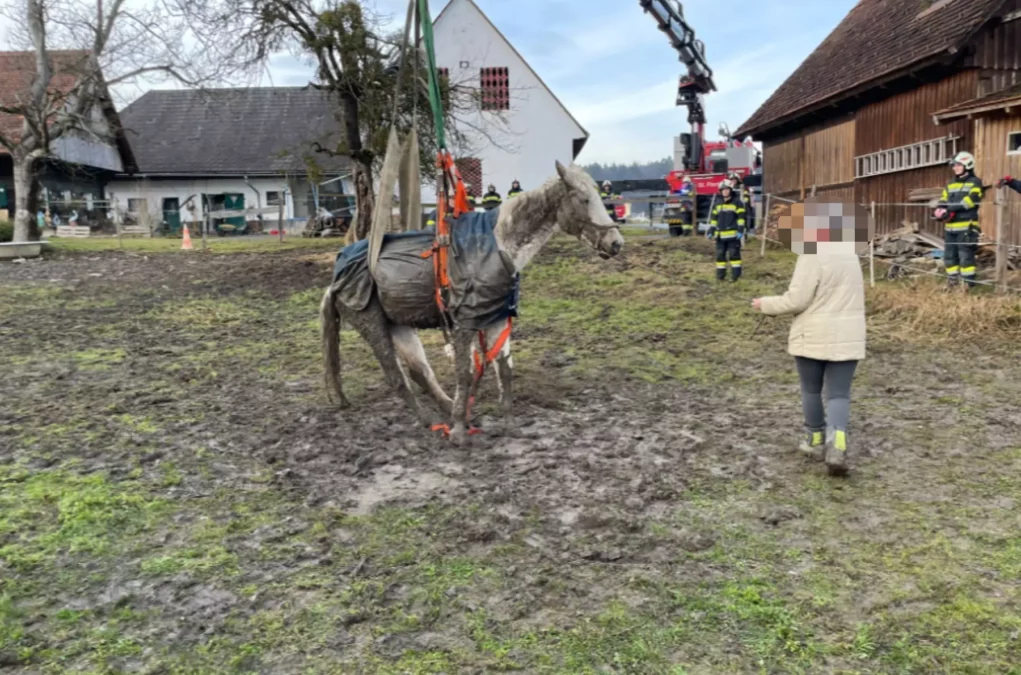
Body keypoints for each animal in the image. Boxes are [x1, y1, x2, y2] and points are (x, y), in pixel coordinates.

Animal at [319, 160, 624, 445]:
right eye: (583, 199)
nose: (616, 243)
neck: (497, 247)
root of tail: (335, 279)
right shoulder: (463, 324)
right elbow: (464, 374)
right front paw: (458, 431)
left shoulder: (497, 319)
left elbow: (505, 370)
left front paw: (509, 425)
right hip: (373, 325)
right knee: (397, 377)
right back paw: (431, 420)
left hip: (400, 326)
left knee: (421, 372)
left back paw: (449, 410)